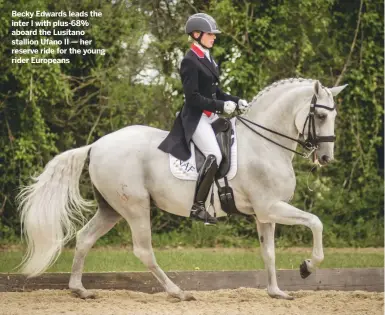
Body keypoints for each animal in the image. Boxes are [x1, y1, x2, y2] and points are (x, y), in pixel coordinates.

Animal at [18, 78, 346, 302]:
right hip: (135, 207)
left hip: (111, 209)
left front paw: (277, 292)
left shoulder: (263, 214)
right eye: (320, 116)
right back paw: (178, 292)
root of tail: (96, 145)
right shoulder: (270, 207)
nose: (326, 158)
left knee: (84, 238)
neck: (263, 144)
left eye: (334, 116)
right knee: (143, 250)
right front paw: (307, 267)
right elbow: (316, 222)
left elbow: (269, 253)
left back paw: (80, 290)